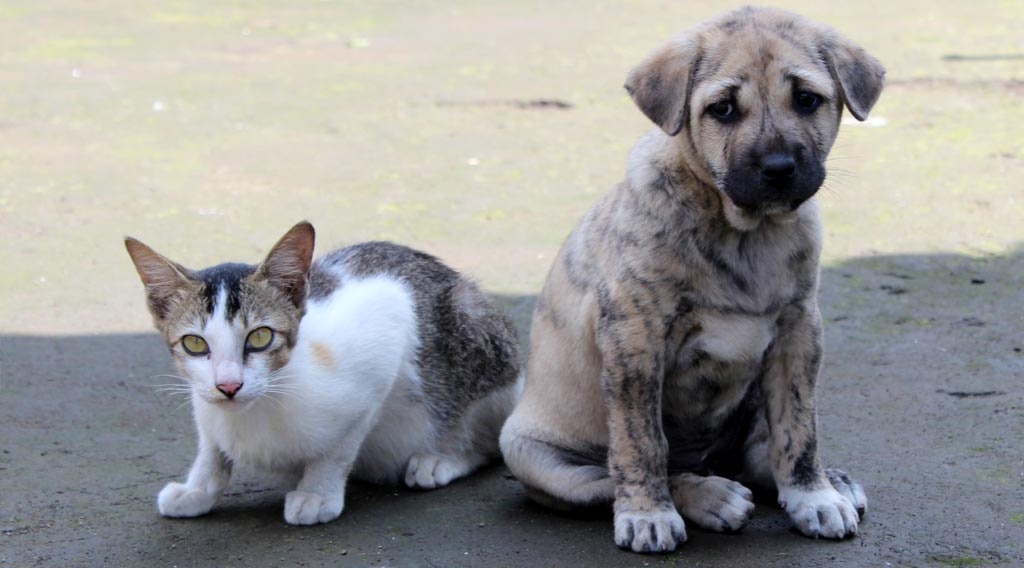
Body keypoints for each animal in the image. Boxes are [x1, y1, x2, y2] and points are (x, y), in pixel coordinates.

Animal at [123, 221, 520, 523]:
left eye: (261, 337)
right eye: (194, 344)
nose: (229, 386)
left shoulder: (385, 333)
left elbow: (340, 447)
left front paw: (317, 493)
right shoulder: (203, 401)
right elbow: (211, 446)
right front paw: (198, 489)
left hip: (480, 340)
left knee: (488, 441)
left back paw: (443, 458)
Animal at [499, 6, 884, 552]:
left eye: (807, 99)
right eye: (722, 109)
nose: (778, 168)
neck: (743, 233)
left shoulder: (799, 332)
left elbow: (799, 428)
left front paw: (813, 495)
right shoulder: (634, 342)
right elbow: (642, 443)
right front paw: (648, 514)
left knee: (758, 453)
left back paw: (829, 481)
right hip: (535, 455)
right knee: (619, 475)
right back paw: (709, 496)